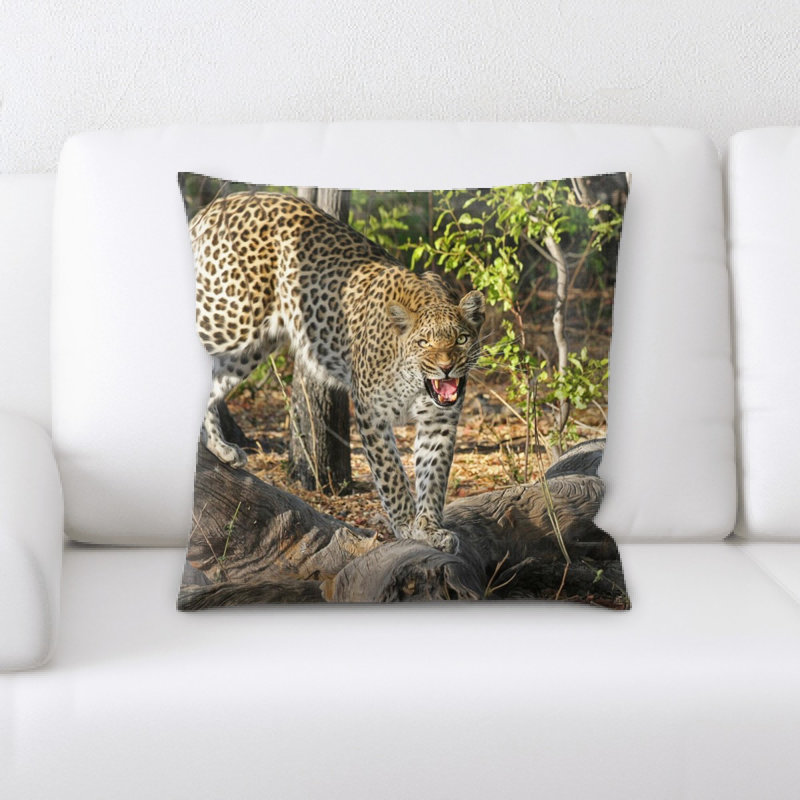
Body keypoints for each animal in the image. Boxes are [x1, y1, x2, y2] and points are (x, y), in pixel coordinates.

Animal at [188, 189, 485, 552]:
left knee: (212, 381)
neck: (415, 383)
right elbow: (392, 473)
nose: (446, 368)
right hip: (230, 315)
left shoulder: (440, 421)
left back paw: (219, 446)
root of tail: (219, 204)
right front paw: (406, 525)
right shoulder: (371, 412)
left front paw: (430, 528)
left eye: (461, 338)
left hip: (253, 345)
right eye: (424, 342)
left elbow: (434, 476)